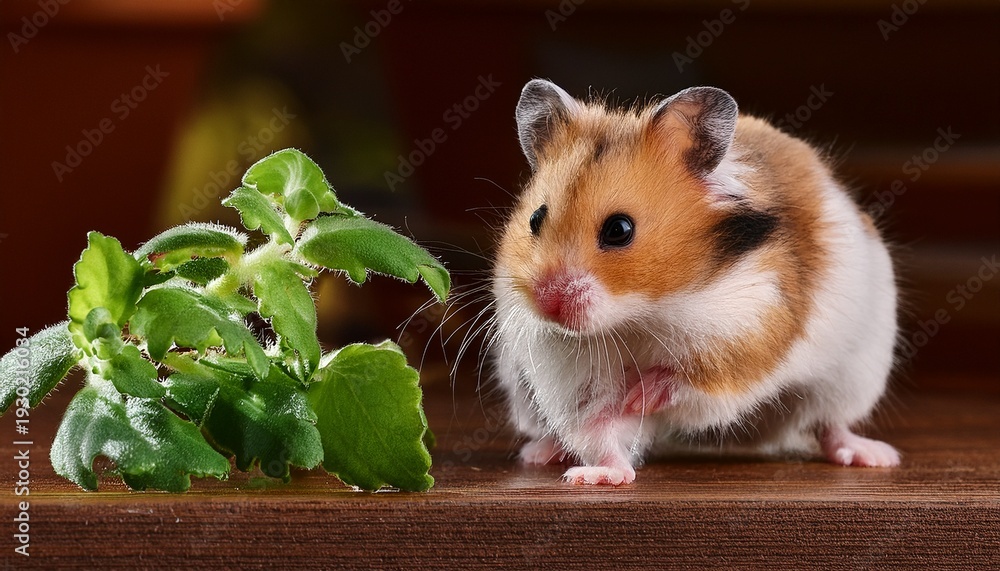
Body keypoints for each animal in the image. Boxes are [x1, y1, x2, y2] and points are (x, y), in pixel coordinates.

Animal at [489, 79, 900, 485]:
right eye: (535, 219)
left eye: (619, 229)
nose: (548, 303)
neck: (640, 315)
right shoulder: (574, 374)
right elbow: (600, 426)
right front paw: (598, 474)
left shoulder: (749, 328)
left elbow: (689, 379)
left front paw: (638, 394)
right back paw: (540, 454)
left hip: (853, 376)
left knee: (828, 424)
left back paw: (875, 456)